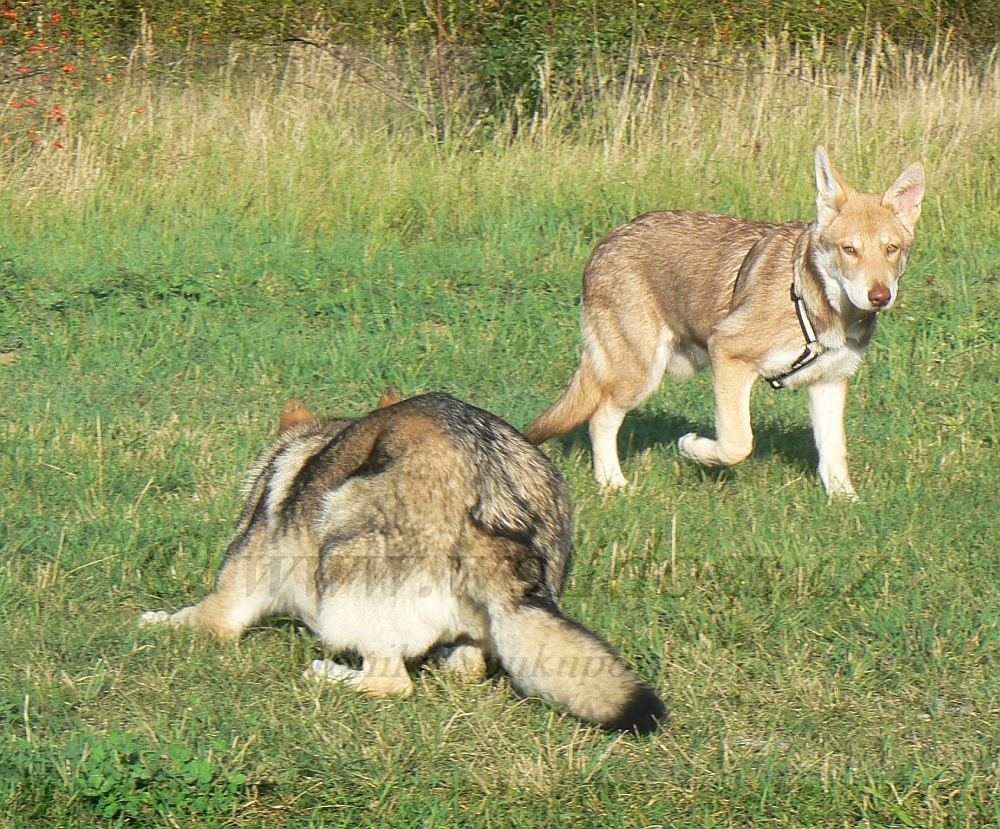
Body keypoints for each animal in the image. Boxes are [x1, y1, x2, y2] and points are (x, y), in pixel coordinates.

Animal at [141, 388, 664, 732]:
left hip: (343, 531)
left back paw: (328, 673)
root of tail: (490, 494)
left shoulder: (223, 609)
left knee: (390, 682)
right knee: (464, 669)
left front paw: (149, 622)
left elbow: (179, 620)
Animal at [528, 146, 924, 498]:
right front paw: (693, 448)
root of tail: (605, 242)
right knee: (600, 419)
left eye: (891, 249)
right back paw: (614, 484)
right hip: (640, 374)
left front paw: (845, 504)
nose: (880, 295)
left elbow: (833, 455)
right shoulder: (729, 354)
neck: (823, 310)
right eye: (849, 250)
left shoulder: (829, 382)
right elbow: (737, 443)